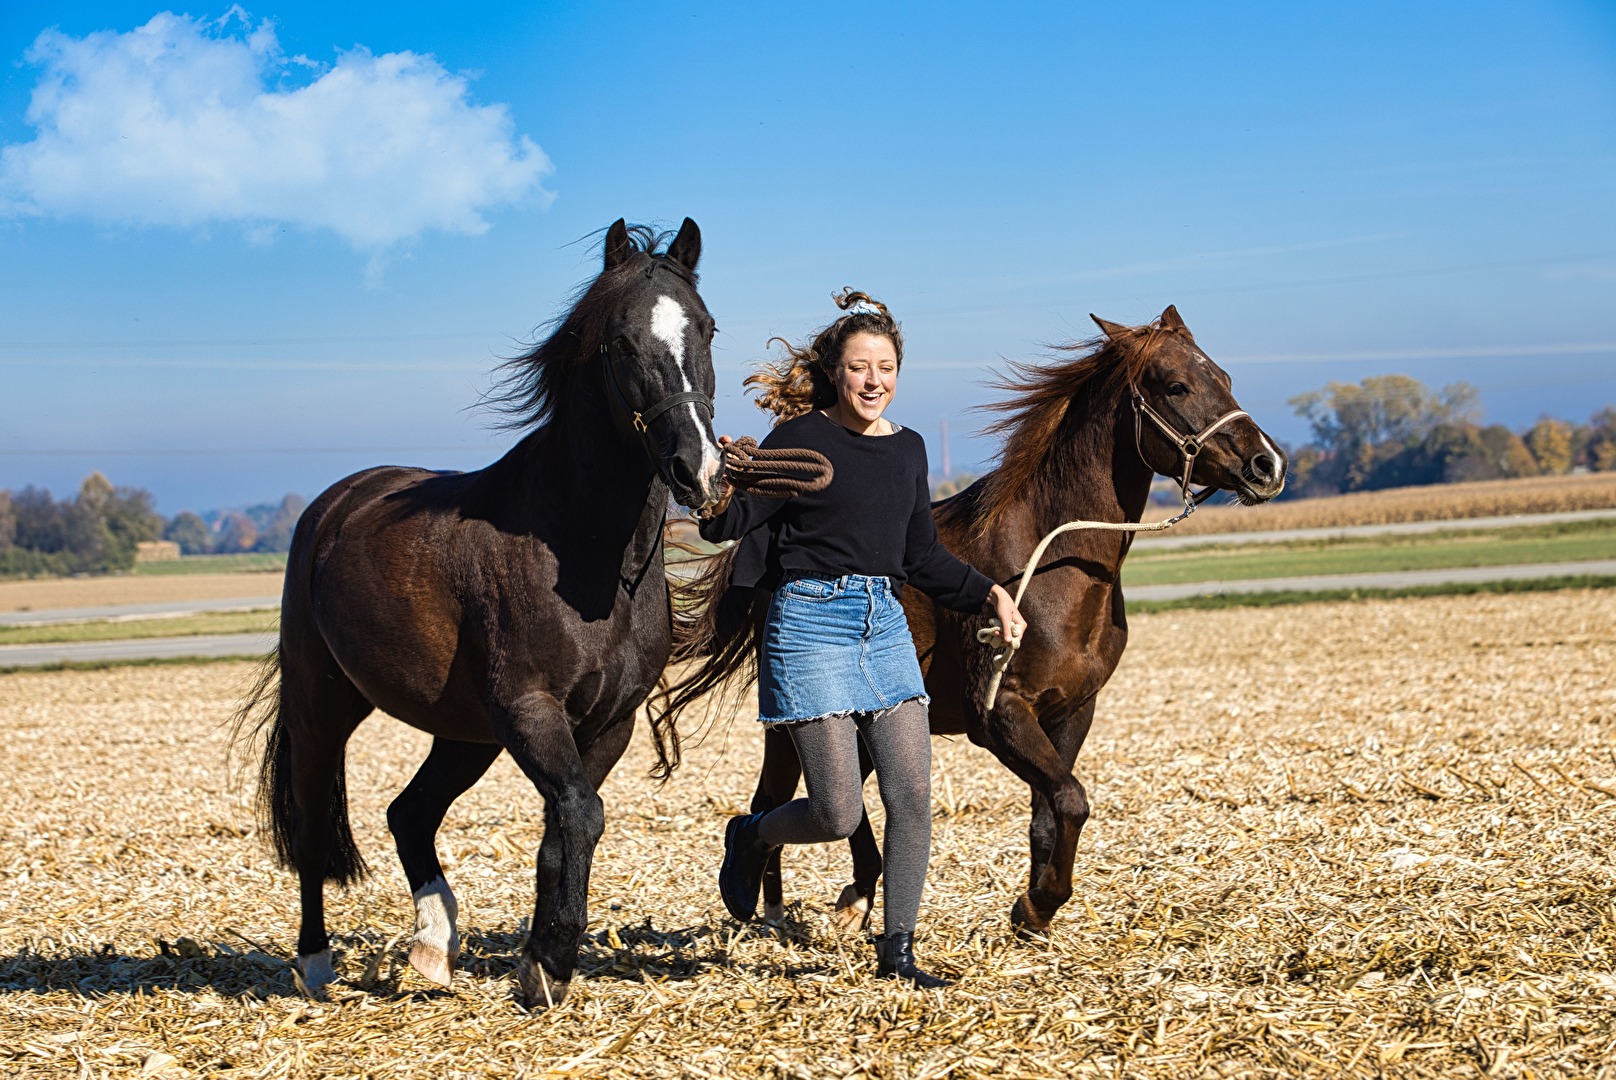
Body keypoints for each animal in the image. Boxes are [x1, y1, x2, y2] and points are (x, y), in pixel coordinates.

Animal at [234, 216, 727, 1002]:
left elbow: (565, 829)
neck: (587, 556)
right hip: (323, 705)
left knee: (409, 813)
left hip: (463, 732)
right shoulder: (530, 709)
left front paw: (542, 964)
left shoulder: (607, 722)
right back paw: (315, 966)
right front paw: (550, 959)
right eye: (621, 341)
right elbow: (579, 814)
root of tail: (334, 505)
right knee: (313, 826)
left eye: (706, 329)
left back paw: (434, 947)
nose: (698, 468)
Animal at [649, 303, 1279, 937]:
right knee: (773, 803)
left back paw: (843, 897)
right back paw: (770, 906)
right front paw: (1038, 903)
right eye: (1175, 385)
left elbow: (1051, 811)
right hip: (795, 728)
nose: (1266, 465)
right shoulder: (997, 714)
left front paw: (1032, 912)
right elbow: (1072, 800)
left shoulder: (1073, 711)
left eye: (1225, 376)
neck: (1049, 564)